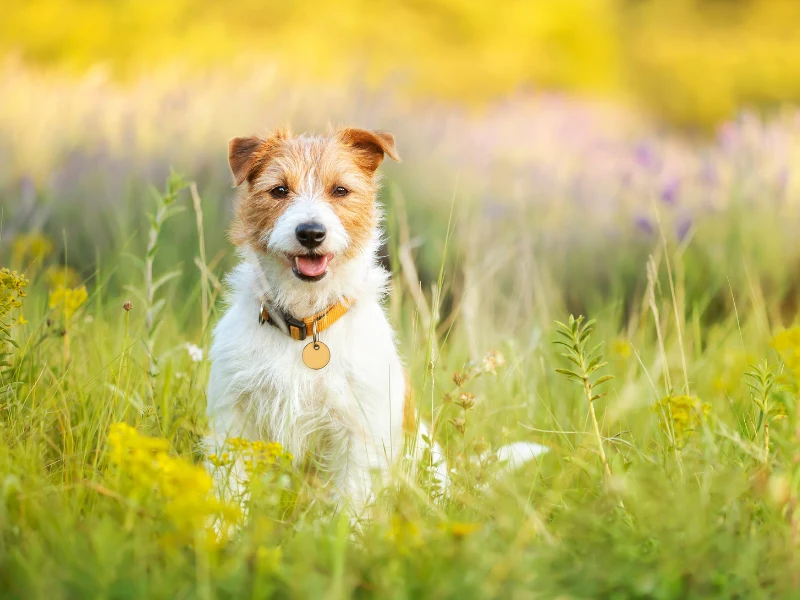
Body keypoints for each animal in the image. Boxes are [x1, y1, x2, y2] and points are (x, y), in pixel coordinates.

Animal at [206, 124, 418, 512]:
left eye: (340, 190)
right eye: (279, 190)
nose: (310, 233)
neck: (306, 323)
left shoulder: (358, 431)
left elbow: (351, 500)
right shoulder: (234, 417)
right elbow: (227, 488)